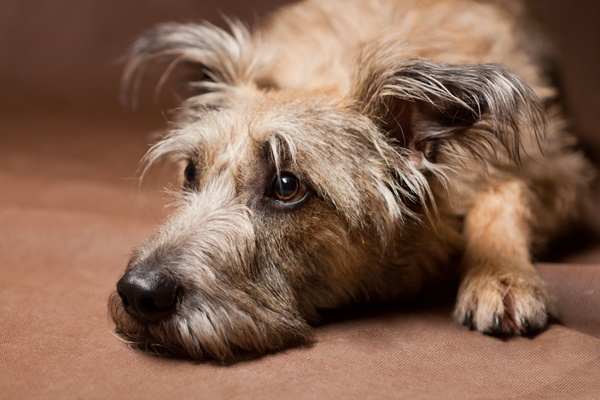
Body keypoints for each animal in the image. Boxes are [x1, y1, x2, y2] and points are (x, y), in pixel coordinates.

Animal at [108, 0, 592, 360]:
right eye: (191, 170)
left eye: (286, 186)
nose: (138, 292)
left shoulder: (566, 179)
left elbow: (506, 192)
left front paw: (502, 276)